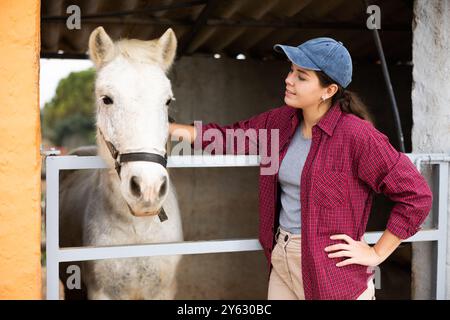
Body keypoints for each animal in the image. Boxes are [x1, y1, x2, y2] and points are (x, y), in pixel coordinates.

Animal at [59, 27, 183, 300]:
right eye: (106, 99)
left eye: (168, 101)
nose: (148, 189)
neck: (138, 229)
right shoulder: (101, 291)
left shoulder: (164, 290)